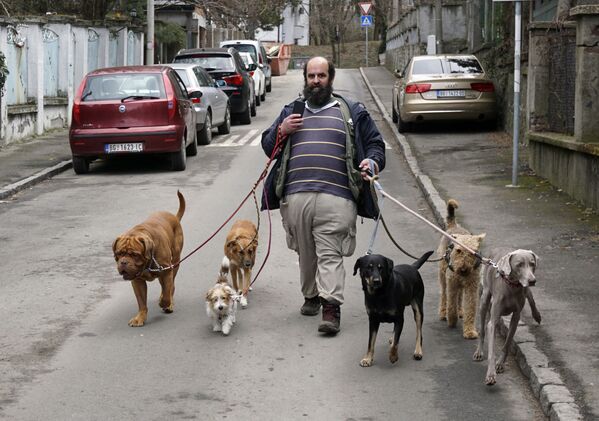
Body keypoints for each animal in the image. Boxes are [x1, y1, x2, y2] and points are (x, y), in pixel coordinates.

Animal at [112, 189, 185, 324]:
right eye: (119, 253)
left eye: (135, 255)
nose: (123, 262)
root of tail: (174, 217)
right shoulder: (137, 281)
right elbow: (141, 301)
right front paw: (140, 317)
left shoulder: (166, 271)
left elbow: (167, 293)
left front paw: (165, 303)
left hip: (175, 262)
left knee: (171, 286)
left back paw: (168, 303)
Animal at [438, 199, 486, 340]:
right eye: (458, 250)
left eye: (472, 252)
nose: (463, 270)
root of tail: (453, 226)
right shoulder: (452, 283)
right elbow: (451, 304)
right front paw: (451, 320)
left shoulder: (472, 287)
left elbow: (470, 308)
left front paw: (469, 331)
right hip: (443, 276)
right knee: (444, 295)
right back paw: (443, 313)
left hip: (460, 284)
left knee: (459, 298)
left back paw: (460, 311)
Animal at [476, 248, 540, 386]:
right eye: (519, 264)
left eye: (532, 264)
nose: (532, 281)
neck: (512, 286)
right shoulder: (493, 321)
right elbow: (491, 350)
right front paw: (491, 375)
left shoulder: (516, 317)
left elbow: (507, 342)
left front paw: (500, 363)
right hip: (484, 299)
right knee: (482, 329)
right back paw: (479, 351)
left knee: (530, 296)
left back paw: (537, 315)